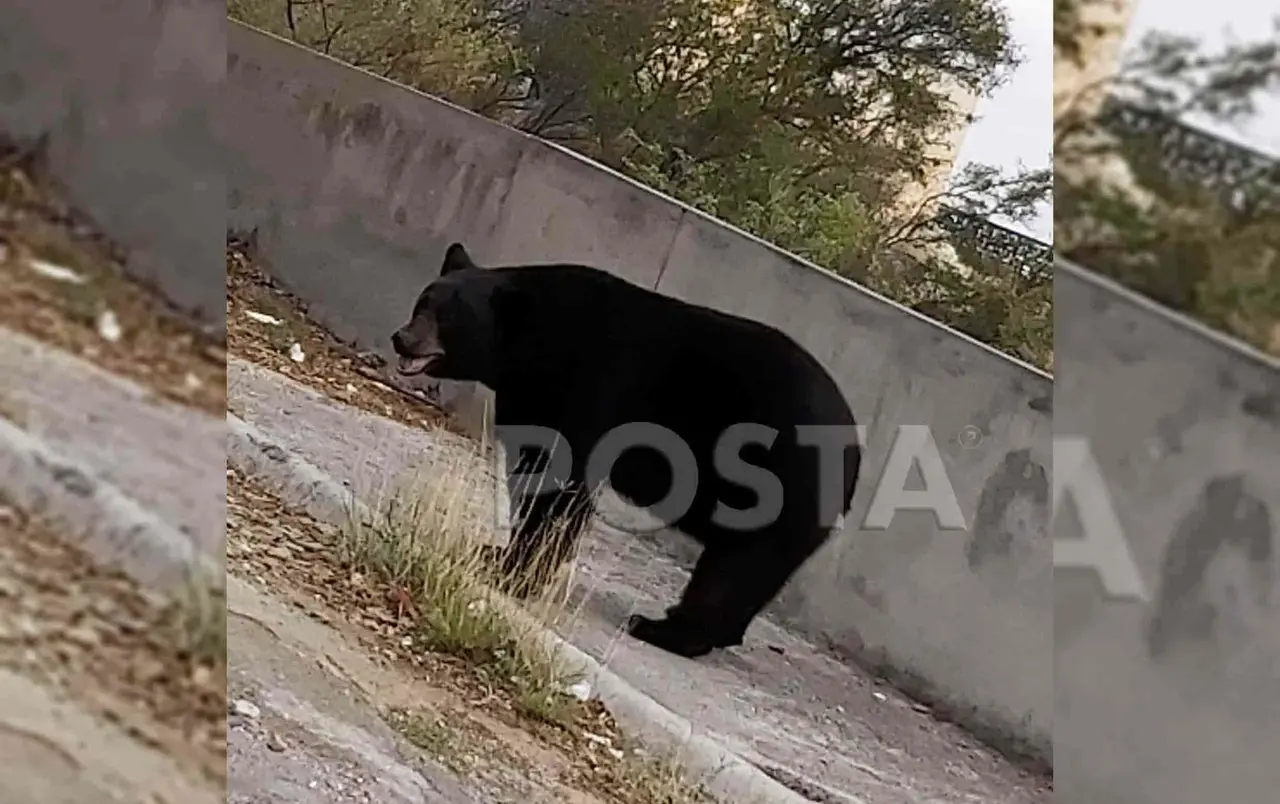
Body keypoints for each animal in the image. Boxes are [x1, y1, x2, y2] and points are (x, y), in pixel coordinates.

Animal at [391, 244, 860, 660]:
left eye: (448, 317)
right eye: (423, 302)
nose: (402, 338)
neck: (535, 346)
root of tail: (854, 452)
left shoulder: (593, 383)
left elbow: (562, 485)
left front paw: (516, 573)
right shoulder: (530, 397)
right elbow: (533, 468)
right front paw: (500, 552)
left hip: (779, 480)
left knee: (736, 567)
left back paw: (664, 629)